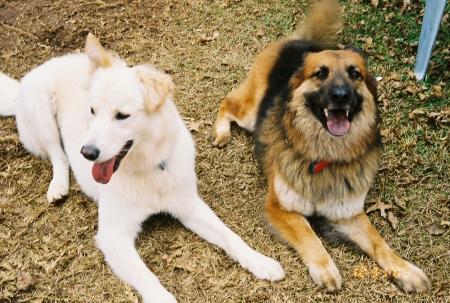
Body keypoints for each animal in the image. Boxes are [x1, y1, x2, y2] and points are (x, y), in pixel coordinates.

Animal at [0, 34, 284, 302]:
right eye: (91, 111)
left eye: (122, 116)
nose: (87, 153)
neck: (148, 169)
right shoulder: (113, 236)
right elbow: (146, 276)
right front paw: (163, 298)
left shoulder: (189, 207)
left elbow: (230, 236)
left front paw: (260, 261)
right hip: (41, 115)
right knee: (58, 154)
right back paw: (58, 185)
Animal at [213, 0, 430, 294]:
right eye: (320, 74)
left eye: (354, 74)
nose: (340, 96)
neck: (325, 155)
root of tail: (295, 42)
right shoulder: (279, 208)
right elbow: (310, 236)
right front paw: (326, 269)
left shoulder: (348, 213)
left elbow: (379, 242)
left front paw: (405, 270)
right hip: (250, 113)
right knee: (228, 103)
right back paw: (220, 132)